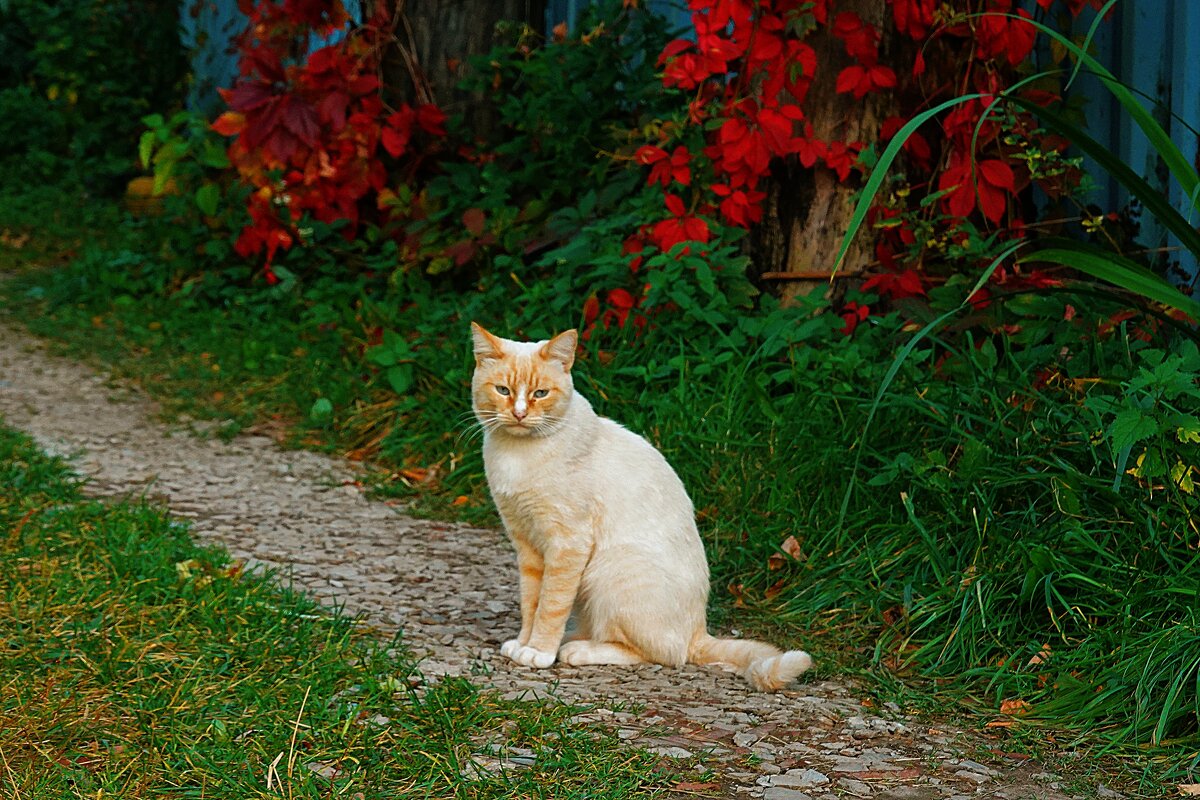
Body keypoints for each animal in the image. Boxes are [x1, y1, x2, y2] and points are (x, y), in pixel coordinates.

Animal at [468, 321, 816, 690]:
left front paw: (539, 652)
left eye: (540, 394)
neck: (518, 455)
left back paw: (577, 649)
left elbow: (550, 606)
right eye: (503, 390)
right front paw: (523, 643)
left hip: (608, 571)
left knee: (665, 654)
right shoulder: (527, 545)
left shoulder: (566, 545)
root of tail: (698, 630)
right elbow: (531, 602)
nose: (519, 414)